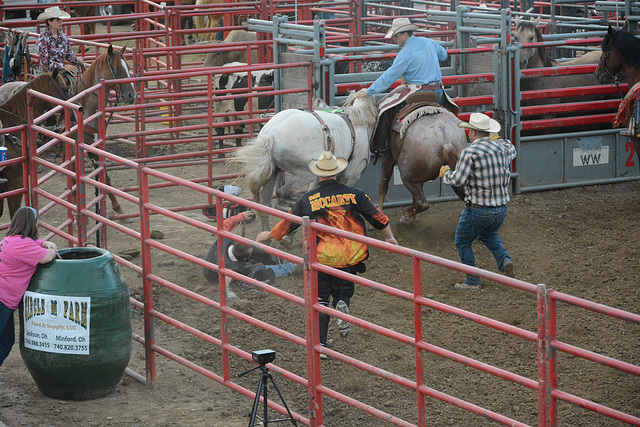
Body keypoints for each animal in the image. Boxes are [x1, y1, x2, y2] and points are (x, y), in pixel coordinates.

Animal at [235, 91, 378, 229]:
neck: (359, 121)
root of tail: (271, 134)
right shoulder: (352, 174)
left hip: (274, 171)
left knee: (265, 204)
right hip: (306, 173)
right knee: (283, 191)